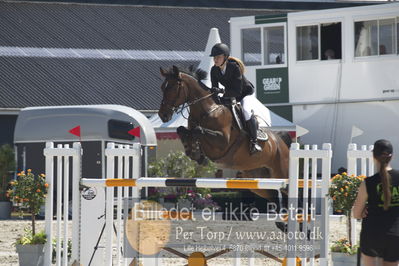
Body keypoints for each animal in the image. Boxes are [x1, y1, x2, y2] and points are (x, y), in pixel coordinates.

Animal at [158, 66, 292, 200]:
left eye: (172, 87)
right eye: (162, 87)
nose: (162, 115)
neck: (207, 111)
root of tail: (280, 140)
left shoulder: (222, 142)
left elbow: (198, 130)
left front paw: (196, 152)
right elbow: (181, 130)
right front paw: (193, 151)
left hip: (281, 173)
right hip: (258, 178)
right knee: (273, 196)